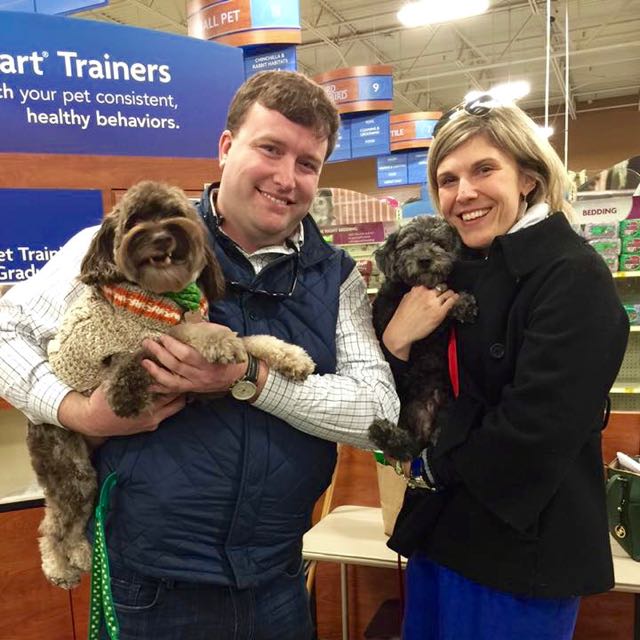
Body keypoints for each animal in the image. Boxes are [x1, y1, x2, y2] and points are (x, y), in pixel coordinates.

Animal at [368, 215, 477, 462]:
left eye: (438, 243)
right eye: (409, 245)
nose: (425, 260)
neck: (415, 286)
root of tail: (424, 428)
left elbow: (447, 295)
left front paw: (463, 304)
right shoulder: (387, 315)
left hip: (448, 406)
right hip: (401, 409)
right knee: (404, 447)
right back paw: (383, 432)